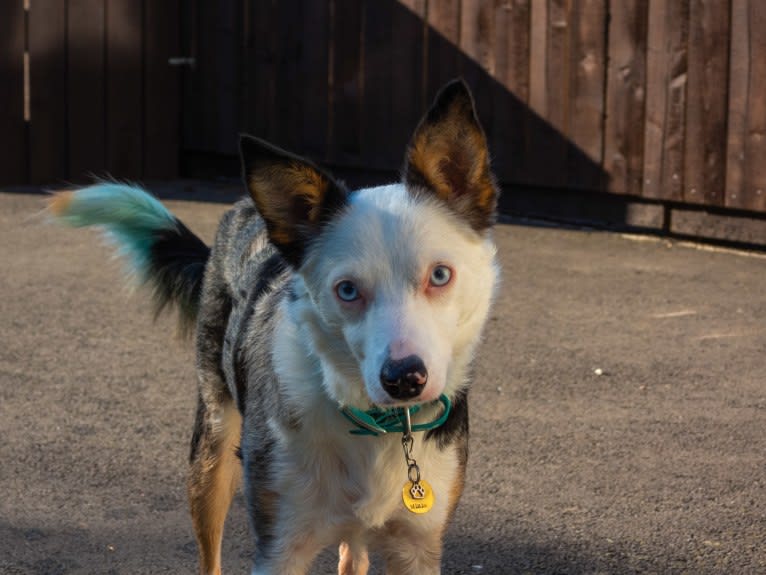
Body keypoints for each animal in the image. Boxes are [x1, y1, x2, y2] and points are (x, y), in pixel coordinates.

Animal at [49, 79, 504, 572]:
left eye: (439, 275)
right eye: (347, 290)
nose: (404, 379)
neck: (379, 428)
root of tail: (247, 207)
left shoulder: (417, 549)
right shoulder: (279, 547)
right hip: (212, 455)